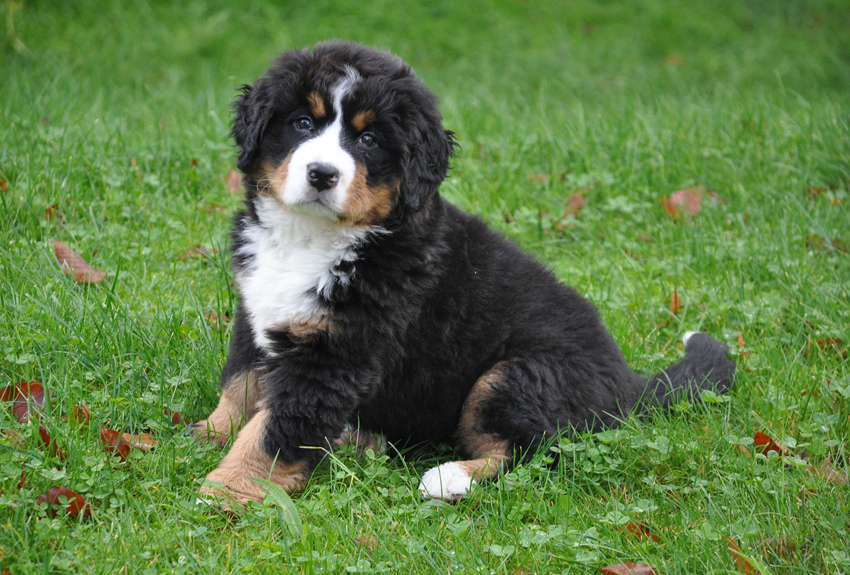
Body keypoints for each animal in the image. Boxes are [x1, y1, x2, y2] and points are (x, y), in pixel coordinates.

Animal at [194, 41, 736, 508]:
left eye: (368, 139)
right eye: (303, 122)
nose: (322, 174)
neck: (311, 238)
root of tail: (629, 384)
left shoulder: (335, 353)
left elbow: (275, 430)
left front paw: (226, 489)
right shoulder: (257, 313)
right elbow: (241, 384)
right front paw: (207, 433)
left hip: (515, 376)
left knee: (538, 450)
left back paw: (450, 477)